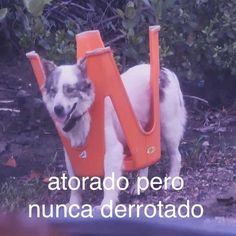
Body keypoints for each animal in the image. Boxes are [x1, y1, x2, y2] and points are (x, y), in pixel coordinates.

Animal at [42, 59, 186, 208]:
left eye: (70, 90)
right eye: (53, 91)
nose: (57, 109)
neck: (86, 113)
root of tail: (165, 71)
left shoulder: (113, 151)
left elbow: (109, 182)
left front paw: (106, 205)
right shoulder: (70, 155)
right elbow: (74, 183)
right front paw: (73, 204)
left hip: (169, 128)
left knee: (176, 156)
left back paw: (172, 181)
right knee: (144, 158)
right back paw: (140, 185)